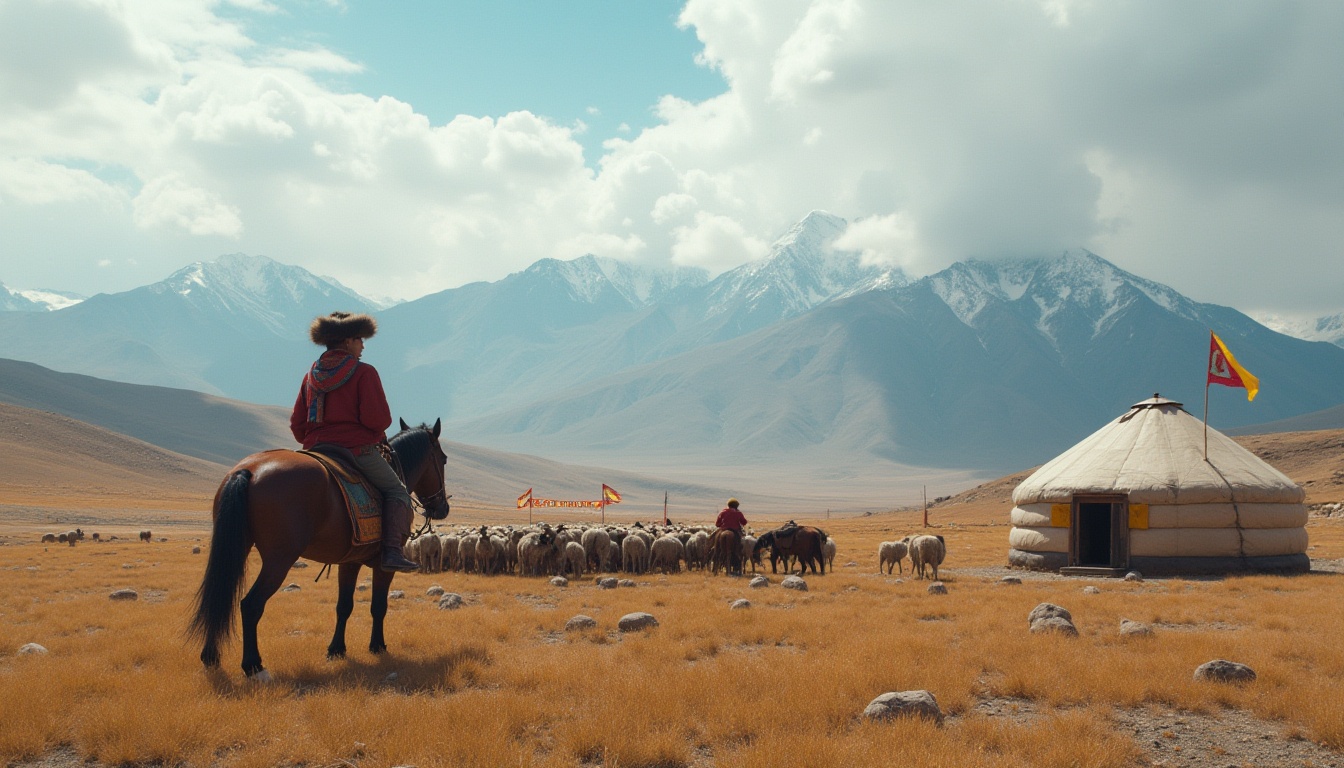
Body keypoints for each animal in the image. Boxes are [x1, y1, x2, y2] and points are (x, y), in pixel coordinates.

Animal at [189, 419, 451, 677]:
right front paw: (377, 646)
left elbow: (344, 606)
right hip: (279, 560)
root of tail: (248, 471)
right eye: (444, 459)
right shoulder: (384, 564)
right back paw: (253, 666)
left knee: (221, 598)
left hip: (238, 548)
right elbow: (379, 606)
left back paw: (210, 657)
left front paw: (336, 650)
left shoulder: (350, 561)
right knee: (251, 604)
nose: (443, 508)